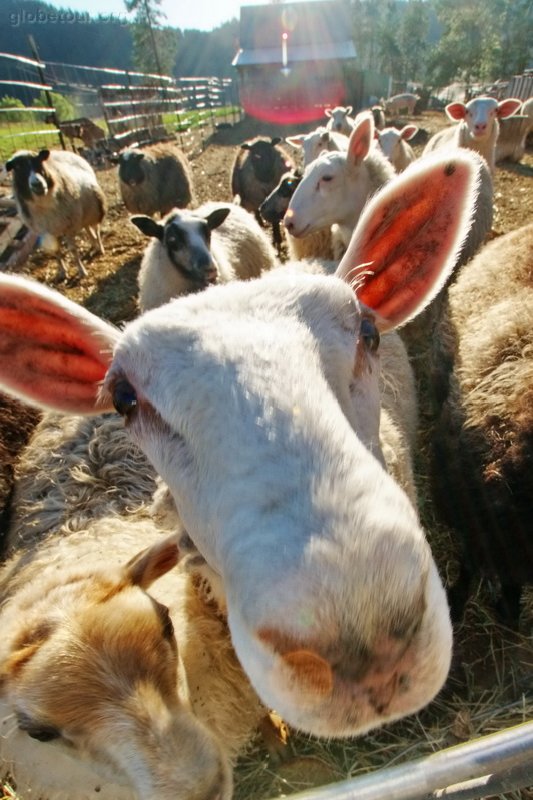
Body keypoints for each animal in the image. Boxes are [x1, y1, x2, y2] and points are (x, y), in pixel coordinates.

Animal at [5, 148, 106, 280]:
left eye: (39, 161)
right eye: (17, 167)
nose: (37, 184)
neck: (43, 205)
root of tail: (65, 151)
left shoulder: (68, 226)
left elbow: (73, 250)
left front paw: (81, 271)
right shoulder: (46, 231)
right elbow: (56, 252)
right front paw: (63, 272)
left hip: (95, 210)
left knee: (96, 230)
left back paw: (100, 248)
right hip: (83, 215)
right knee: (88, 230)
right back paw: (94, 244)